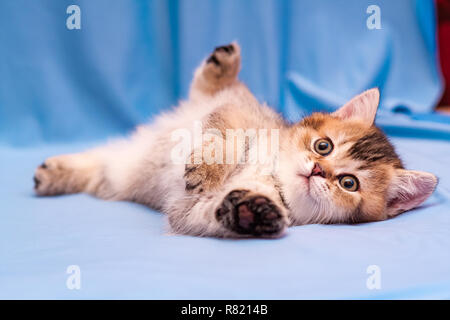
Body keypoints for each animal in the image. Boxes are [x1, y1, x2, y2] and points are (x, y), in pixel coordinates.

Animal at [33, 42, 438, 238]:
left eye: (349, 183)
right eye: (323, 146)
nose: (318, 170)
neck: (268, 174)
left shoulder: (185, 211)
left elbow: (207, 212)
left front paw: (250, 213)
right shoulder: (236, 114)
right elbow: (222, 140)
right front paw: (207, 170)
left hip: (116, 174)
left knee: (98, 164)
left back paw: (52, 173)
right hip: (215, 99)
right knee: (210, 86)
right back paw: (223, 62)